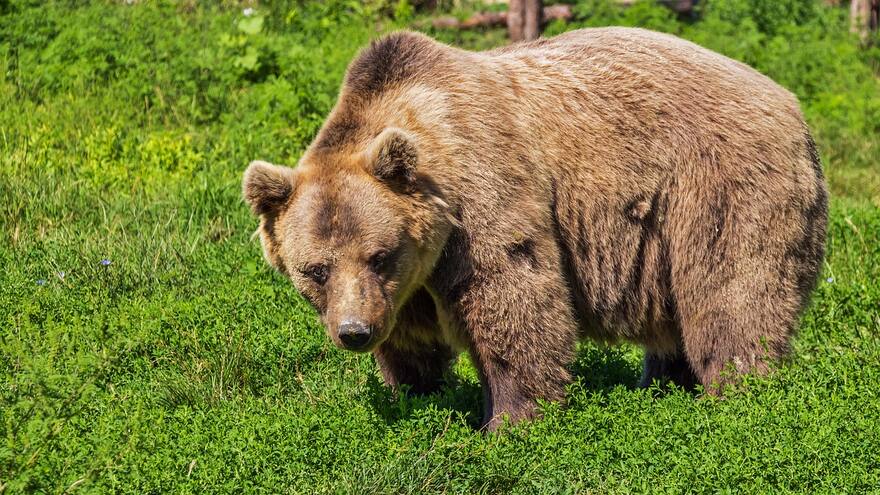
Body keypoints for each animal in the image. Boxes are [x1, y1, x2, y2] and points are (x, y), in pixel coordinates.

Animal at [242, 27, 827, 430]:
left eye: (379, 254)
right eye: (315, 270)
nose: (354, 332)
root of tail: (792, 105)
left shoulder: (481, 197)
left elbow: (514, 299)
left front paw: (509, 421)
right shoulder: (406, 285)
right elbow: (411, 342)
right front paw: (417, 394)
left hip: (719, 188)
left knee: (732, 295)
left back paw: (738, 394)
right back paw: (662, 385)